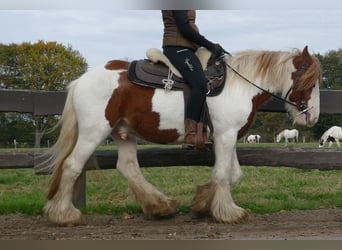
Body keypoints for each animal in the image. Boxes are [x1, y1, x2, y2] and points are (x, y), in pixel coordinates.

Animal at [42, 45, 320, 227]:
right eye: (309, 81)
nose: (313, 117)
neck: (240, 86)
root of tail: (80, 81)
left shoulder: (227, 137)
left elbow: (233, 175)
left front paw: (203, 204)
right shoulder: (226, 136)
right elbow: (223, 174)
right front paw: (228, 212)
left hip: (123, 133)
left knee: (128, 167)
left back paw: (160, 206)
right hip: (93, 132)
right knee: (71, 166)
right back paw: (64, 214)